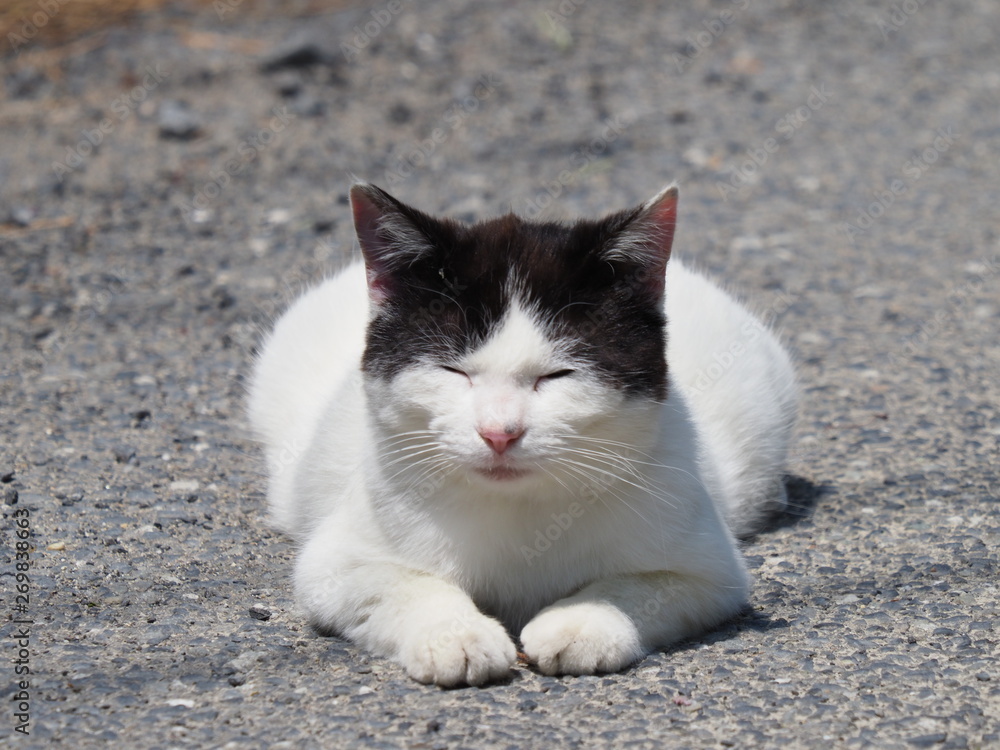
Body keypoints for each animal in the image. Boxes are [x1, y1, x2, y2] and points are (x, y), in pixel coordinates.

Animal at [247, 182, 798, 686]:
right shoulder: (335, 565)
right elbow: (405, 584)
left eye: (557, 375)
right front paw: (456, 635)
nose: (499, 432)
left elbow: (634, 586)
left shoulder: (708, 573)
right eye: (453, 370)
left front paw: (583, 622)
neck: (519, 511)